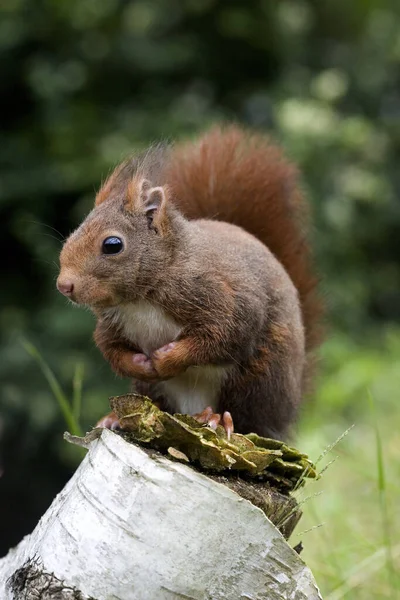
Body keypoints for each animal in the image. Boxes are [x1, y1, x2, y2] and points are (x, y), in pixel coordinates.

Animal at [57, 124, 322, 438]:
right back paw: (115, 418)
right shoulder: (113, 324)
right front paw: (137, 363)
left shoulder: (221, 298)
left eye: (112, 245)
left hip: (259, 378)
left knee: (249, 420)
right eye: (74, 232)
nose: (64, 285)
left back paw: (219, 419)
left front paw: (167, 358)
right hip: (157, 390)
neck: (141, 300)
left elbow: (221, 337)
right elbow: (110, 348)